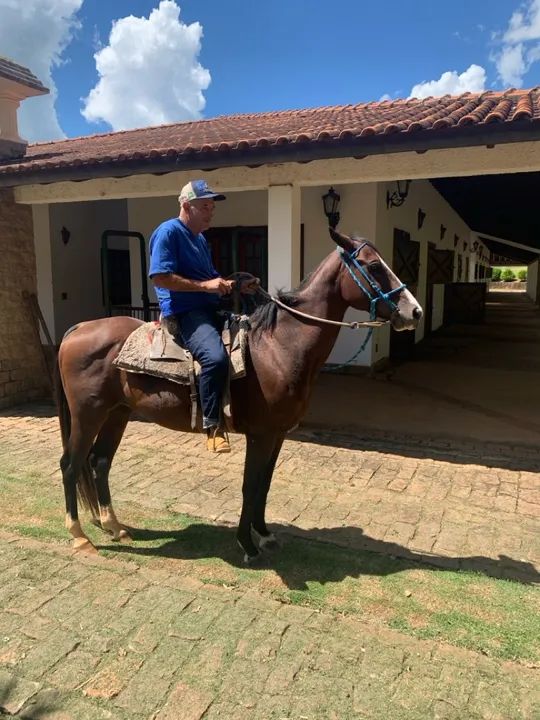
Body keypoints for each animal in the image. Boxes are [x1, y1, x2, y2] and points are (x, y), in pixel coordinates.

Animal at [54, 228, 422, 563]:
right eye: (373, 266)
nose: (414, 312)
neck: (277, 347)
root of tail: (78, 329)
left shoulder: (278, 434)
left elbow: (265, 484)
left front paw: (265, 534)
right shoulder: (260, 434)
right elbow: (250, 485)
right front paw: (247, 544)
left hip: (117, 413)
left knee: (99, 462)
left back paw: (114, 526)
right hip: (88, 414)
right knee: (70, 465)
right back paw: (79, 536)